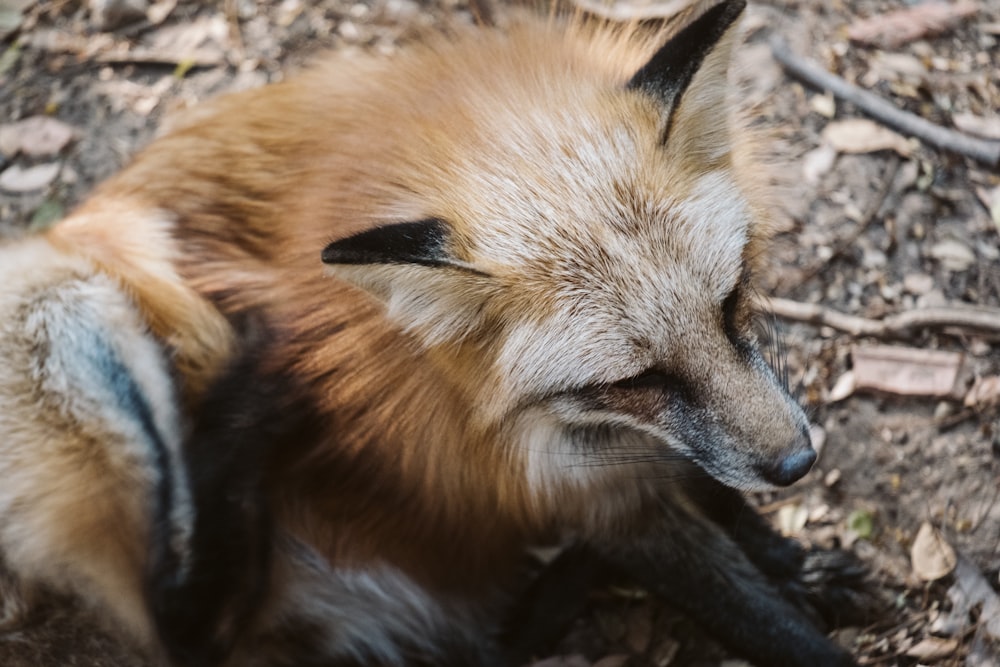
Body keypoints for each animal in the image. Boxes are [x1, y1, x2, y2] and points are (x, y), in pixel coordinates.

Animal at [0, 0, 876, 664]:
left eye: (731, 303)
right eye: (635, 377)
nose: (796, 464)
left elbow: (712, 485)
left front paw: (791, 561)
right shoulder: (585, 487)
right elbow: (752, 615)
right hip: (56, 309)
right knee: (181, 623)